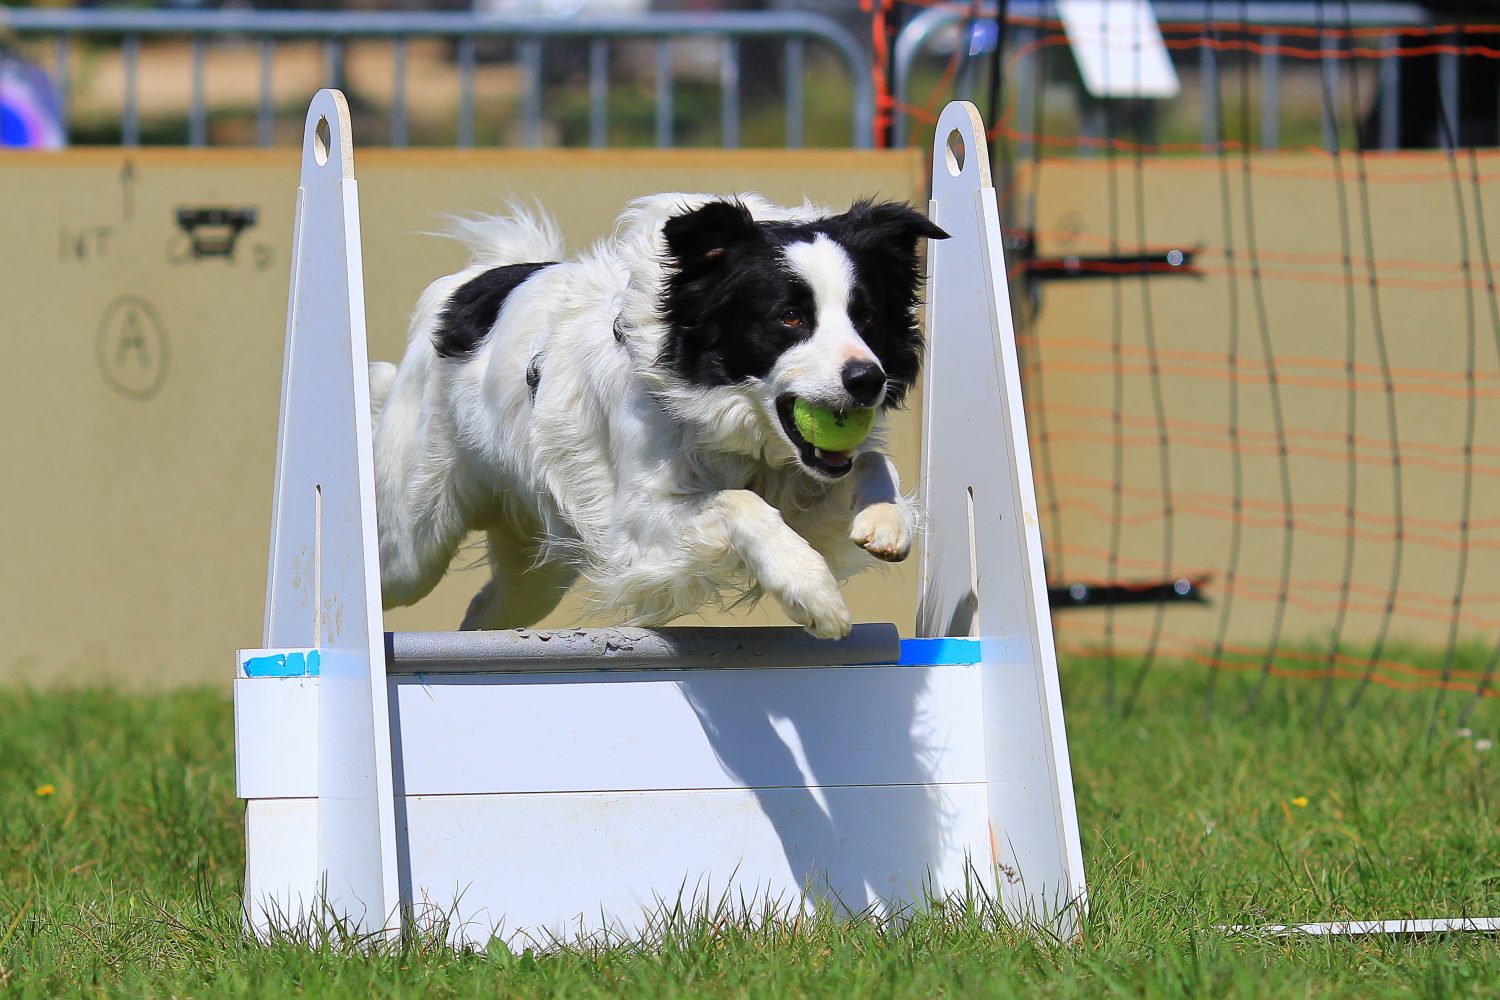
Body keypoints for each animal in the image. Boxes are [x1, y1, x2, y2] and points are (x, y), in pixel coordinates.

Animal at [367, 191, 942, 638]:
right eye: (790, 317)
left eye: (868, 316)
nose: (867, 381)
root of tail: (462, 286)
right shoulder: (637, 526)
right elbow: (740, 502)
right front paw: (810, 589)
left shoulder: (801, 487)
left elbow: (871, 463)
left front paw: (885, 520)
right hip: (414, 542)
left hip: (531, 567)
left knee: (484, 613)